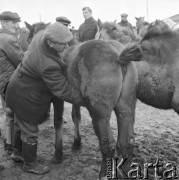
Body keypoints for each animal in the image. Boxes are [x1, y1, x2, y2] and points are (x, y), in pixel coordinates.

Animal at [25, 21, 143, 179]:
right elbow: (76, 116)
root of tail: (119, 56)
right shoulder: (74, 98)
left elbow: (58, 122)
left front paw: (58, 154)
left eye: (29, 36)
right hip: (126, 109)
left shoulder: (57, 97)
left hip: (100, 115)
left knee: (108, 145)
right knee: (126, 142)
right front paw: (77, 142)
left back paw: (103, 174)